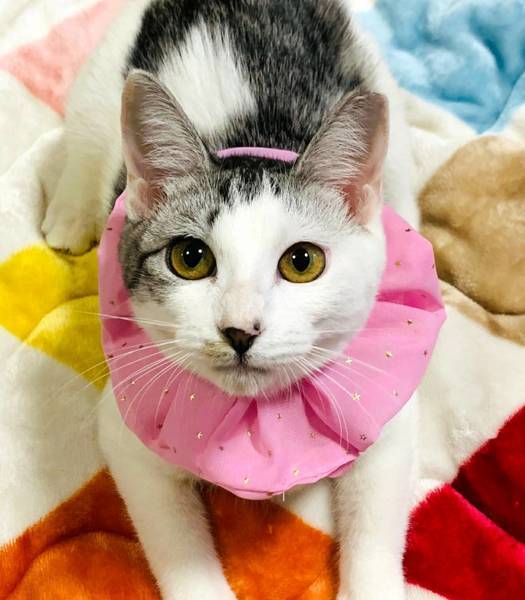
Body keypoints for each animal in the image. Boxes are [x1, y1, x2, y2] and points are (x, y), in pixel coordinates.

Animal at [44, 1, 418, 598]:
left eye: (302, 262)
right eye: (190, 258)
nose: (241, 330)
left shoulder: (386, 416)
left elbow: (376, 528)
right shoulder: (129, 437)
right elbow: (178, 549)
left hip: (387, 103)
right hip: (101, 81)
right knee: (83, 142)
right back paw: (69, 215)